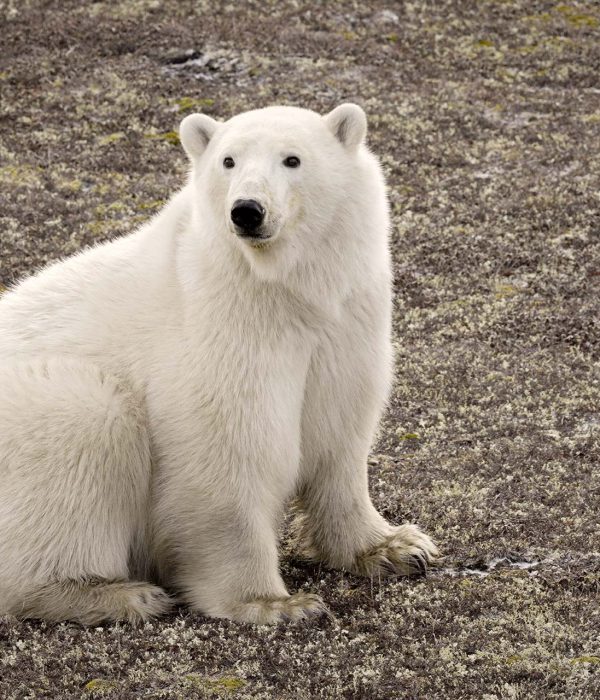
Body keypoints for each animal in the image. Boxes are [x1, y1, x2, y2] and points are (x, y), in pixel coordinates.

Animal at [0, 104, 438, 625]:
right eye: (228, 161)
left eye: (292, 159)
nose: (247, 210)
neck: (280, 294)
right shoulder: (219, 328)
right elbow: (227, 453)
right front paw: (276, 603)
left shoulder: (344, 328)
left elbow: (340, 439)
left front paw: (397, 547)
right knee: (87, 421)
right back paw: (117, 593)